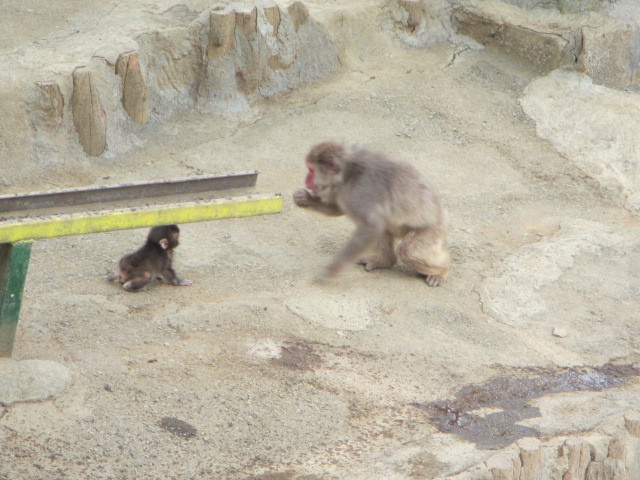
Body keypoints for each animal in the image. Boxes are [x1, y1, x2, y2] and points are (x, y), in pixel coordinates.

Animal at [294, 142, 450, 284]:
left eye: (311, 170)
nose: (306, 180)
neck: (347, 174)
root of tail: (442, 214)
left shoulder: (360, 190)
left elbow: (371, 227)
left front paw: (331, 271)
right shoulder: (340, 191)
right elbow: (337, 209)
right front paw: (305, 199)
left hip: (433, 230)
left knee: (407, 251)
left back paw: (442, 270)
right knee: (385, 227)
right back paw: (385, 261)